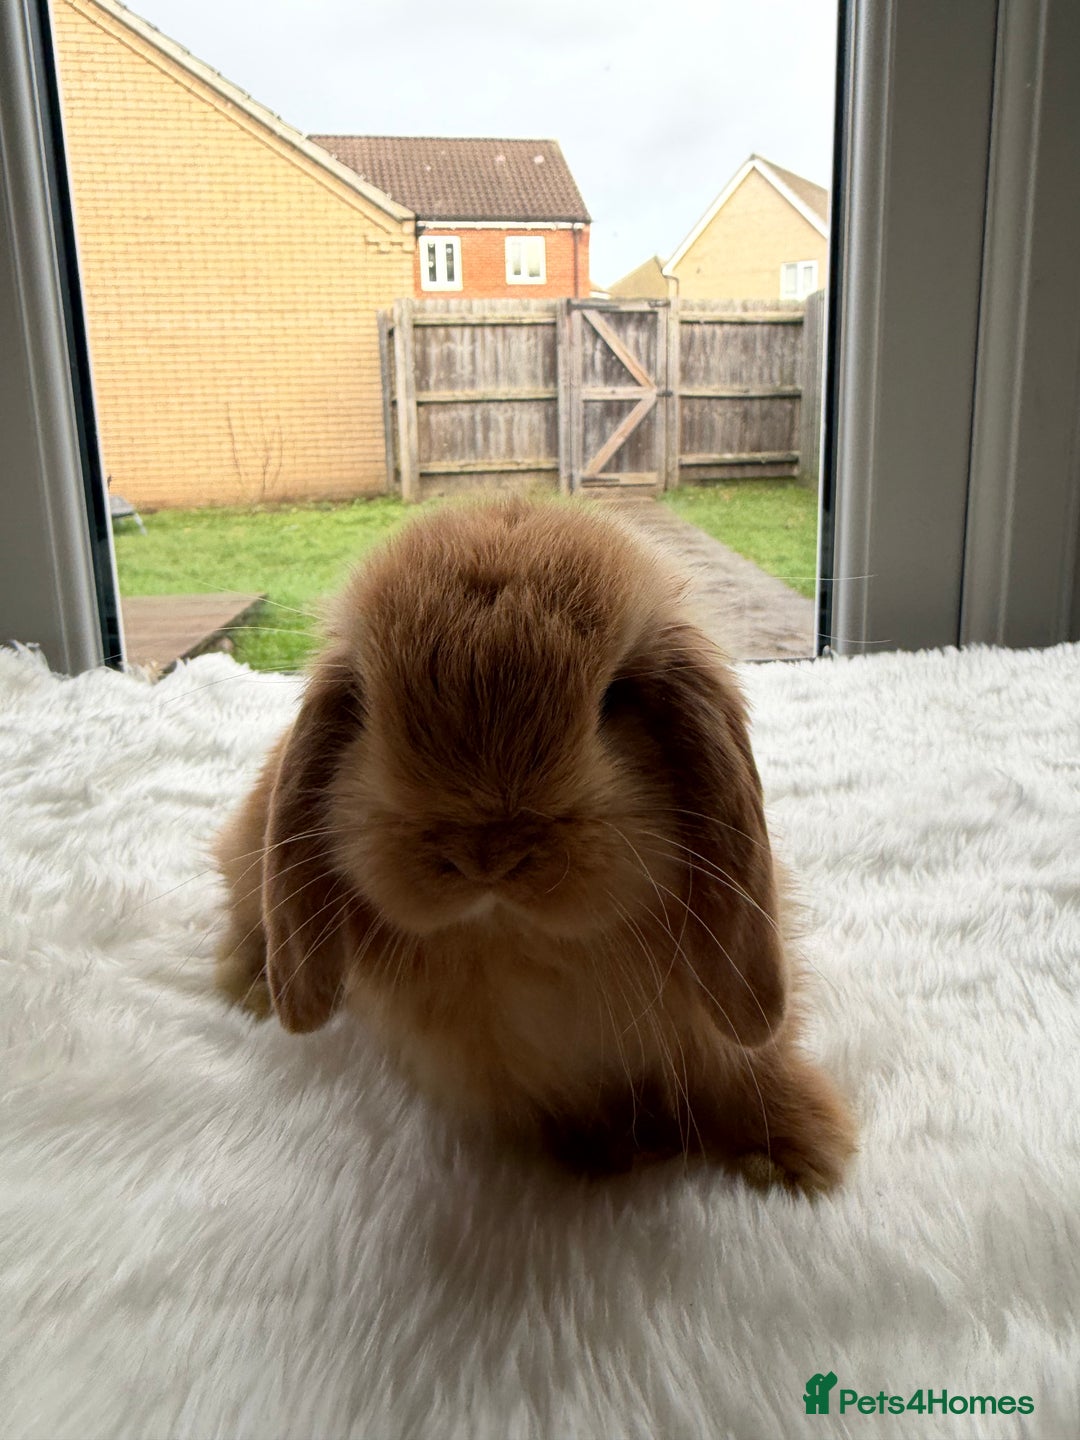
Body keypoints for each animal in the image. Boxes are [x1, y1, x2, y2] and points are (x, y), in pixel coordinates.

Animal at [215, 498, 855, 1192]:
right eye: (365, 706)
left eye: (617, 698)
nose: (488, 854)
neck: (524, 942)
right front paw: (616, 1154)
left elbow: (752, 1075)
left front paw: (791, 1156)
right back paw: (250, 991)